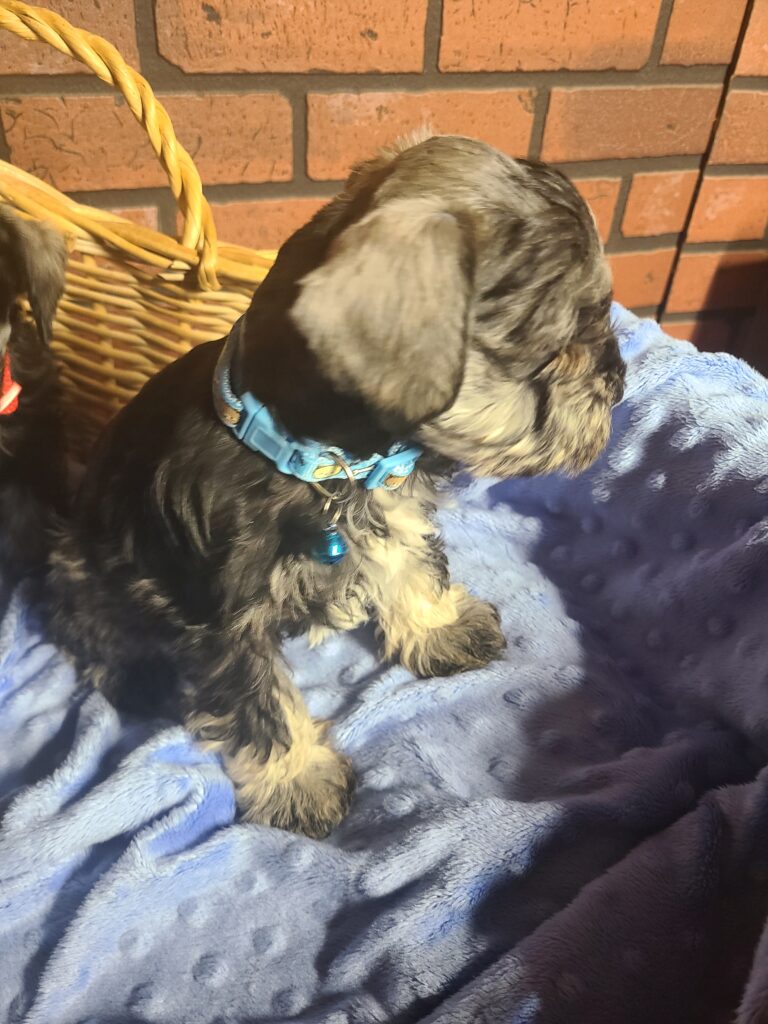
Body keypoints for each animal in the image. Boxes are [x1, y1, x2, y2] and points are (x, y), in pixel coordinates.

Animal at [49, 135, 624, 838]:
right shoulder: (224, 622)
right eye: (559, 343)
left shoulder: (389, 503)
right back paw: (140, 676)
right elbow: (261, 704)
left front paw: (438, 627)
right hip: (80, 563)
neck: (320, 460)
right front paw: (299, 780)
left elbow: (408, 562)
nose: (618, 384)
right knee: (95, 631)